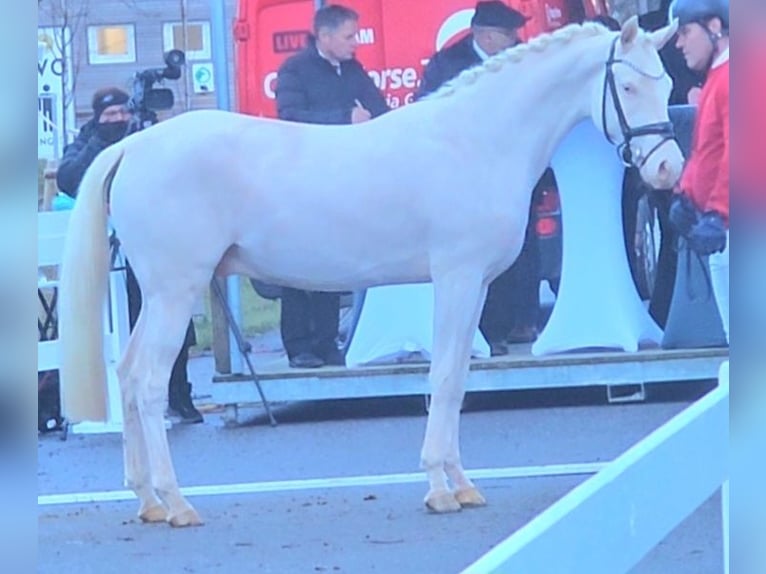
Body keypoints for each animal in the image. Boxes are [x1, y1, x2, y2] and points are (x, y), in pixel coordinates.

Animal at [60, 18, 684, 528]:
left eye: (667, 85)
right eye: (629, 87)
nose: (667, 169)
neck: (476, 140)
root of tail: (136, 144)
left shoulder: (476, 286)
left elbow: (458, 379)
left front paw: (462, 485)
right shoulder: (456, 278)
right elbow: (444, 379)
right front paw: (439, 488)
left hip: (161, 294)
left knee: (128, 373)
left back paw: (146, 499)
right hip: (174, 290)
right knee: (147, 383)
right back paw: (177, 503)